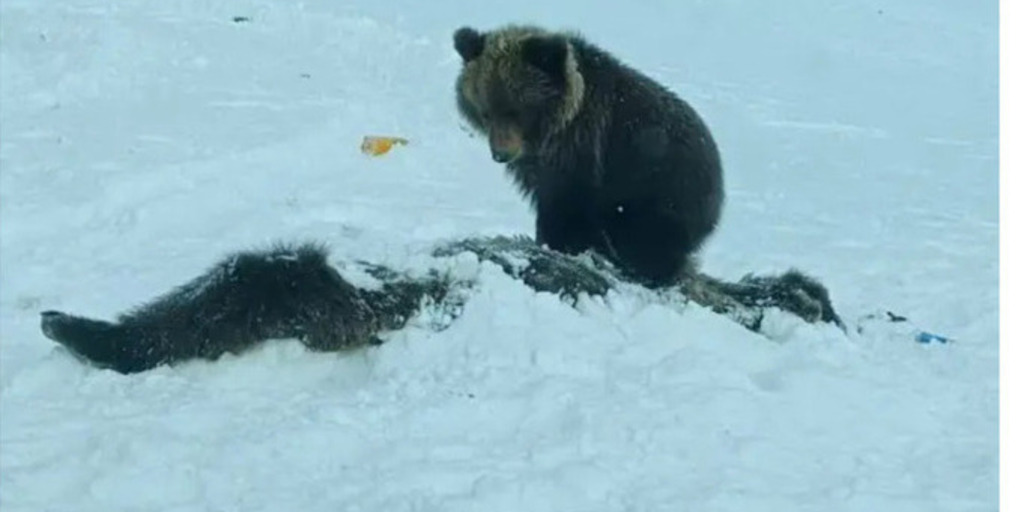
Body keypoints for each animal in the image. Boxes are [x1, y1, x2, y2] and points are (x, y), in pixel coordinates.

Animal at [452, 24, 724, 286]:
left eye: (517, 110)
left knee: (648, 239)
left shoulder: (582, 152)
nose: (501, 154)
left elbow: (564, 208)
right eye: (486, 111)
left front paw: (556, 244)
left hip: (662, 191)